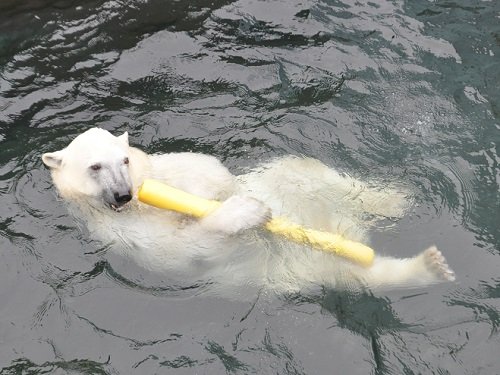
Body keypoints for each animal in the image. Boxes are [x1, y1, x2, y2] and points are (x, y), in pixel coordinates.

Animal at [41, 128, 456, 296]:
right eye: (95, 167)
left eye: (123, 160)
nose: (124, 194)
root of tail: (346, 229)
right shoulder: (121, 234)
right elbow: (180, 250)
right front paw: (246, 211)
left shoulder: (161, 168)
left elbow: (204, 169)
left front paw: (214, 191)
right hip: (309, 269)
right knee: (364, 276)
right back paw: (430, 266)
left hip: (292, 184)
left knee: (306, 169)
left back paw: (393, 200)